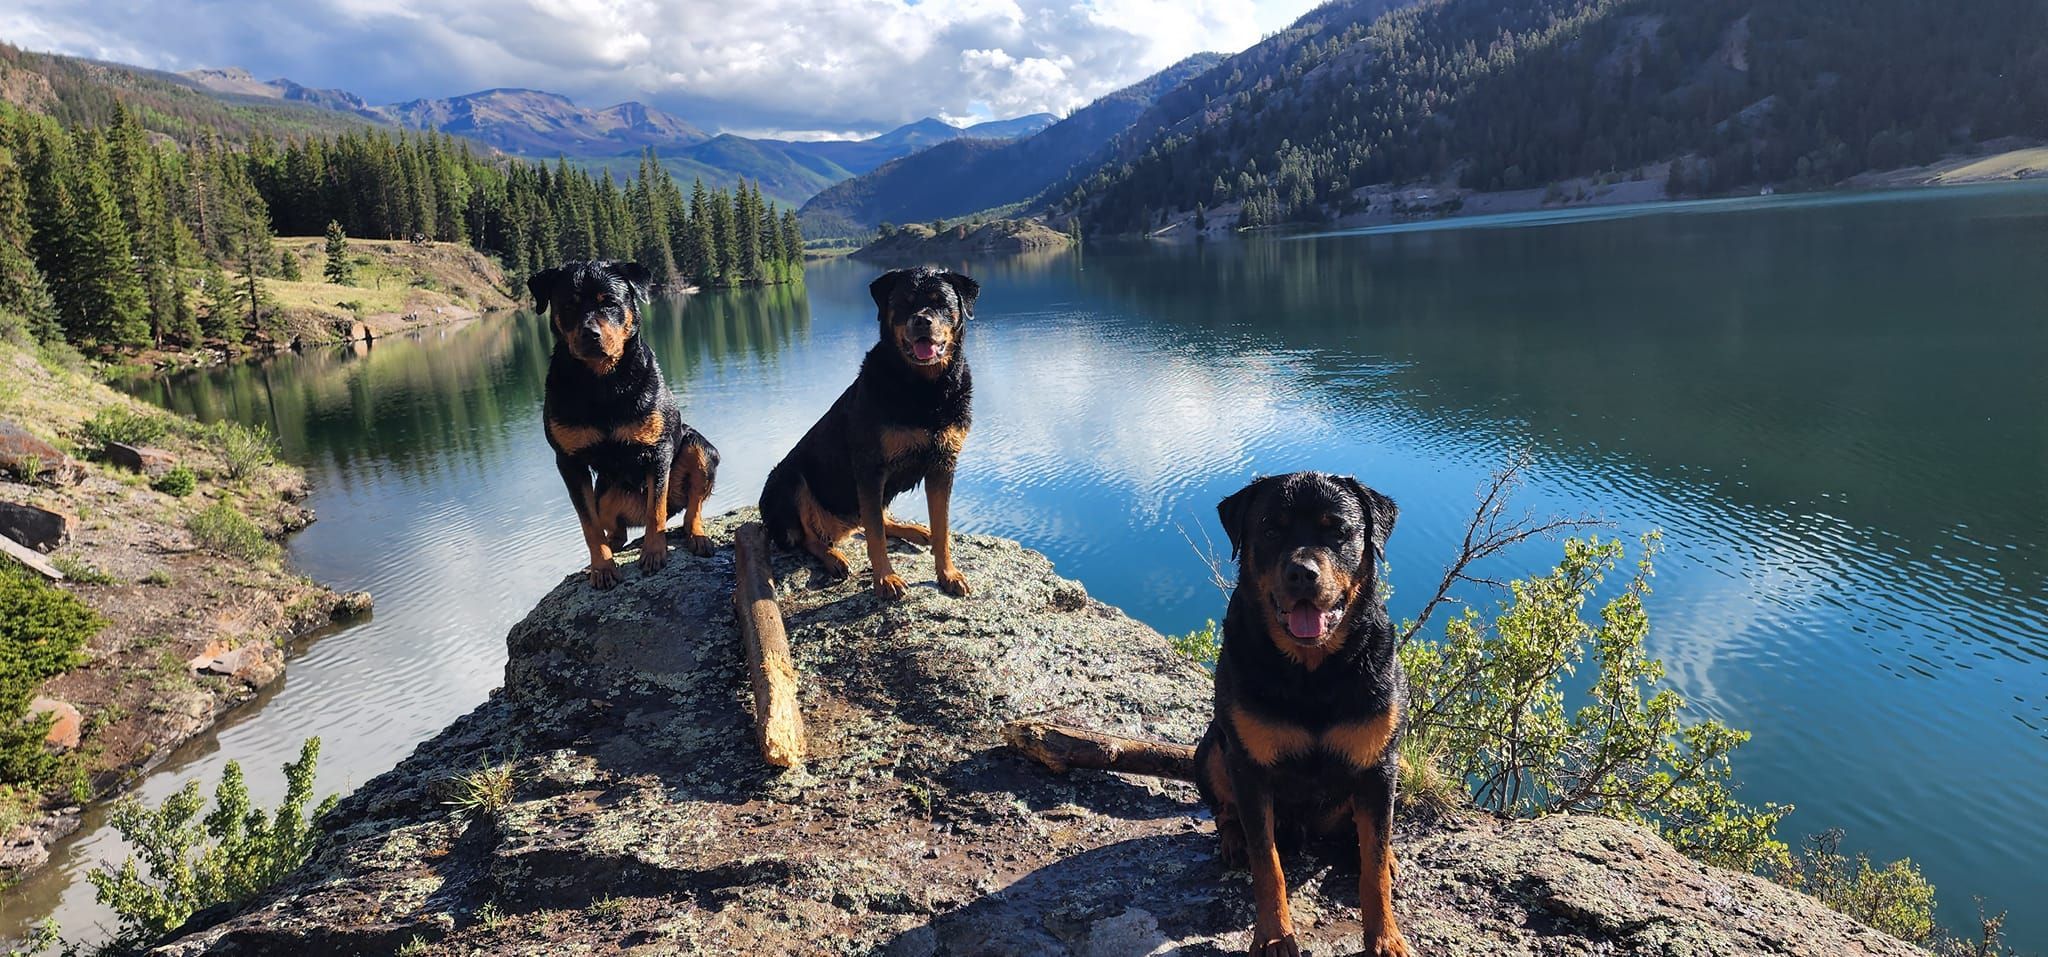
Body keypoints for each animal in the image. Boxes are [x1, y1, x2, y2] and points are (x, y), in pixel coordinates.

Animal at [528, 262, 720, 590]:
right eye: (569, 305)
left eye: (610, 302)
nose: (590, 333)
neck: (602, 382)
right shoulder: (569, 462)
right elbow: (588, 524)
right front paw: (602, 567)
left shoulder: (658, 450)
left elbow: (656, 510)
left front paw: (654, 554)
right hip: (604, 493)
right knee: (613, 530)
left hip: (701, 449)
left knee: (689, 509)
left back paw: (697, 536)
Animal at [761, 266, 983, 598]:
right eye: (903, 303)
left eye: (941, 302)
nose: (922, 320)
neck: (925, 391)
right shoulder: (869, 468)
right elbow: (875, 536)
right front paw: (885, 579)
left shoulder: (943, 465)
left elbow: (941, 527)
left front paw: (948, 574)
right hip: (786, 479)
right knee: (810, 536)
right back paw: (834, 557)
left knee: (872, 518)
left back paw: (913, 530)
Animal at [1196, 471, 1417, 957]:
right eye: (1270, 529)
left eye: (1338, 531)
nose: (1301, 572)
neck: (1312, 674)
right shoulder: (1249, 766)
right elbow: (1268, 864)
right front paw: (1274, 936)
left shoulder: (1378, 765)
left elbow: (1373, 868)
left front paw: (1385, 937)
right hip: (1212, 747)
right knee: (1225, 809)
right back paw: (1234, 838)